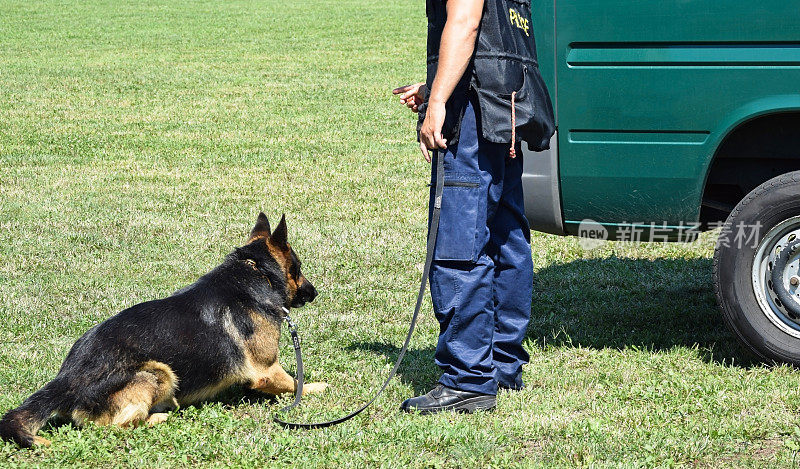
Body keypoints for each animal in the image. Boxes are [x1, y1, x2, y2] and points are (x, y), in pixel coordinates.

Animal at [2, 212, 328, 446]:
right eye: (298, 269)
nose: (315, 293)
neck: (256, 272)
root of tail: (66, 380)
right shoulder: (266, 369)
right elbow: (294, 384)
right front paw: (316, 386)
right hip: (157, 371)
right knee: (113, 426)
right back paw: (158, 417)